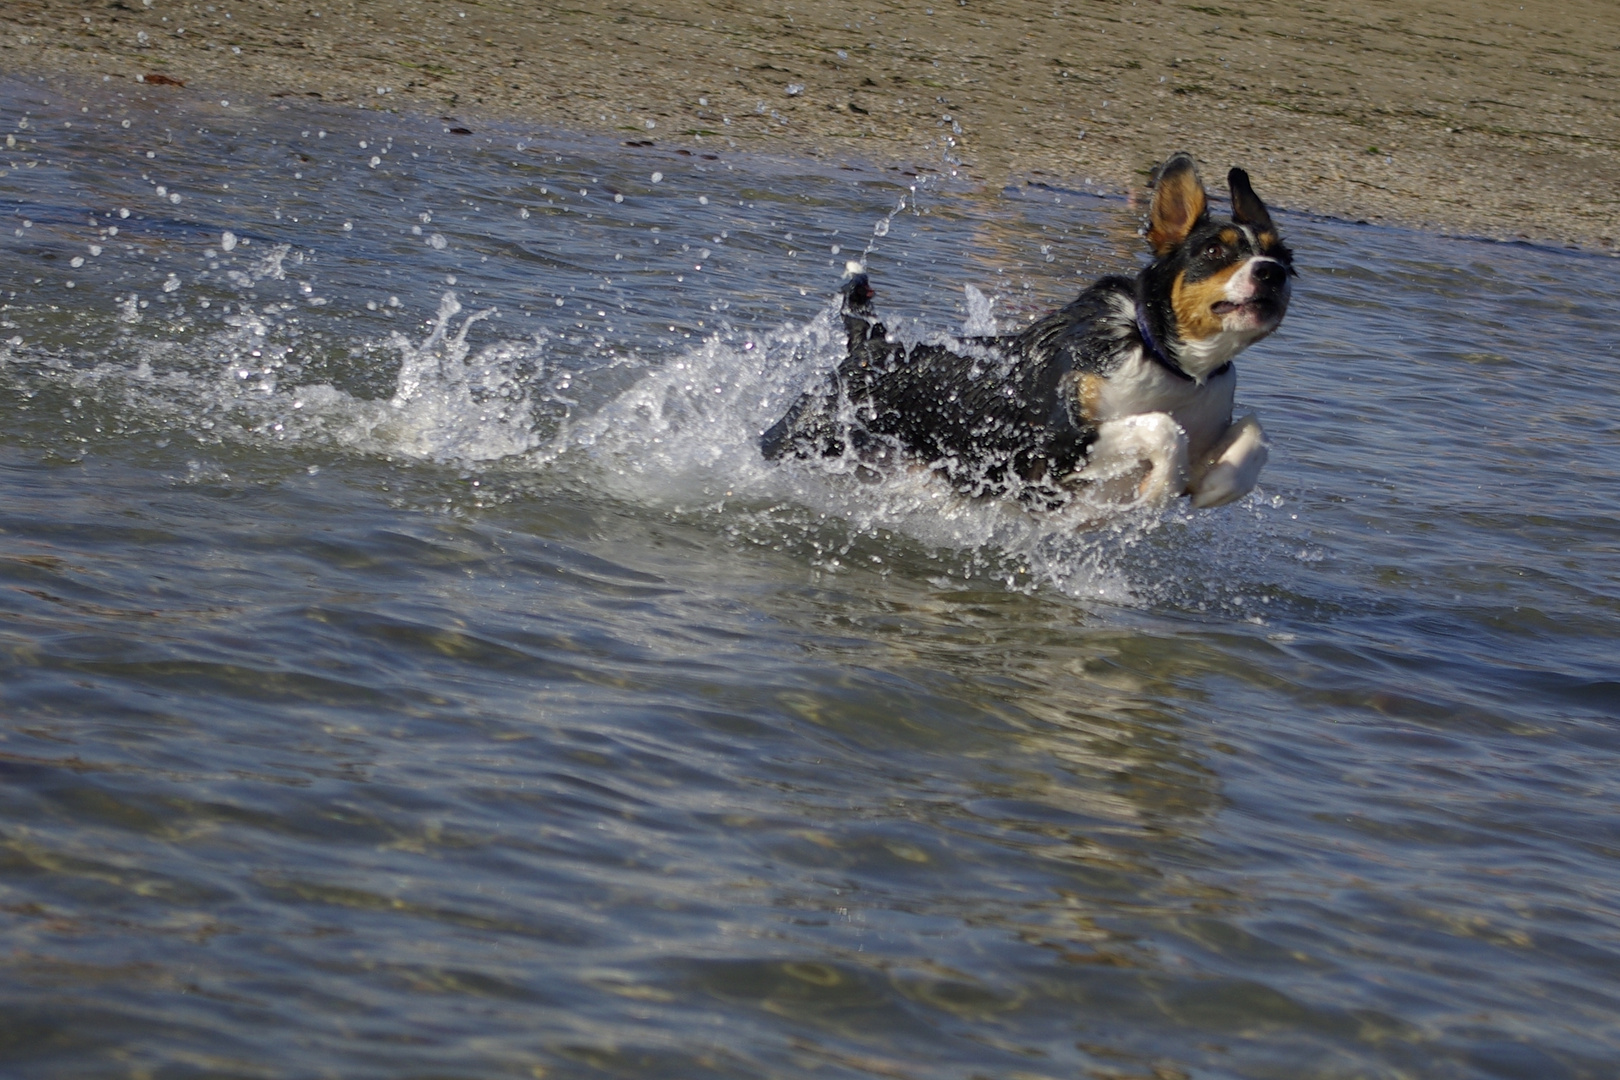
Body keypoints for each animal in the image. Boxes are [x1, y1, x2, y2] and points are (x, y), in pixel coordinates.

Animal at [758, 152, 1289, 514]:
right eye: (1216, 252)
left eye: (1282, 256)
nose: (1271, 273)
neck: (1165, 360)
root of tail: (870, 341)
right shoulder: (1053, 446)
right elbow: (1161, 428)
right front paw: (1158, 488)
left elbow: (1253, 431)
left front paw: (1215, 485)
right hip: (801, 437)